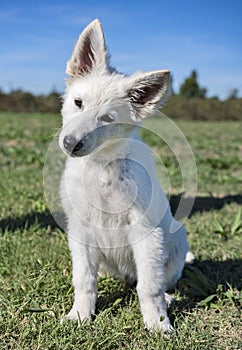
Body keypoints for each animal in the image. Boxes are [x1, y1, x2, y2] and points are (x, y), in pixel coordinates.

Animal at [58, 18, 193, 334]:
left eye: (107, 119)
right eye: (78, 103)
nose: (70, 143)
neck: (101, 167)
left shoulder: (146, 232)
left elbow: (150, 287)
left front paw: (158, 323)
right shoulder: (80, 229)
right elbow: (83, 278)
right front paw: (80, 315)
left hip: (176, 238)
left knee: (159, 280)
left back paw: (168, 299)